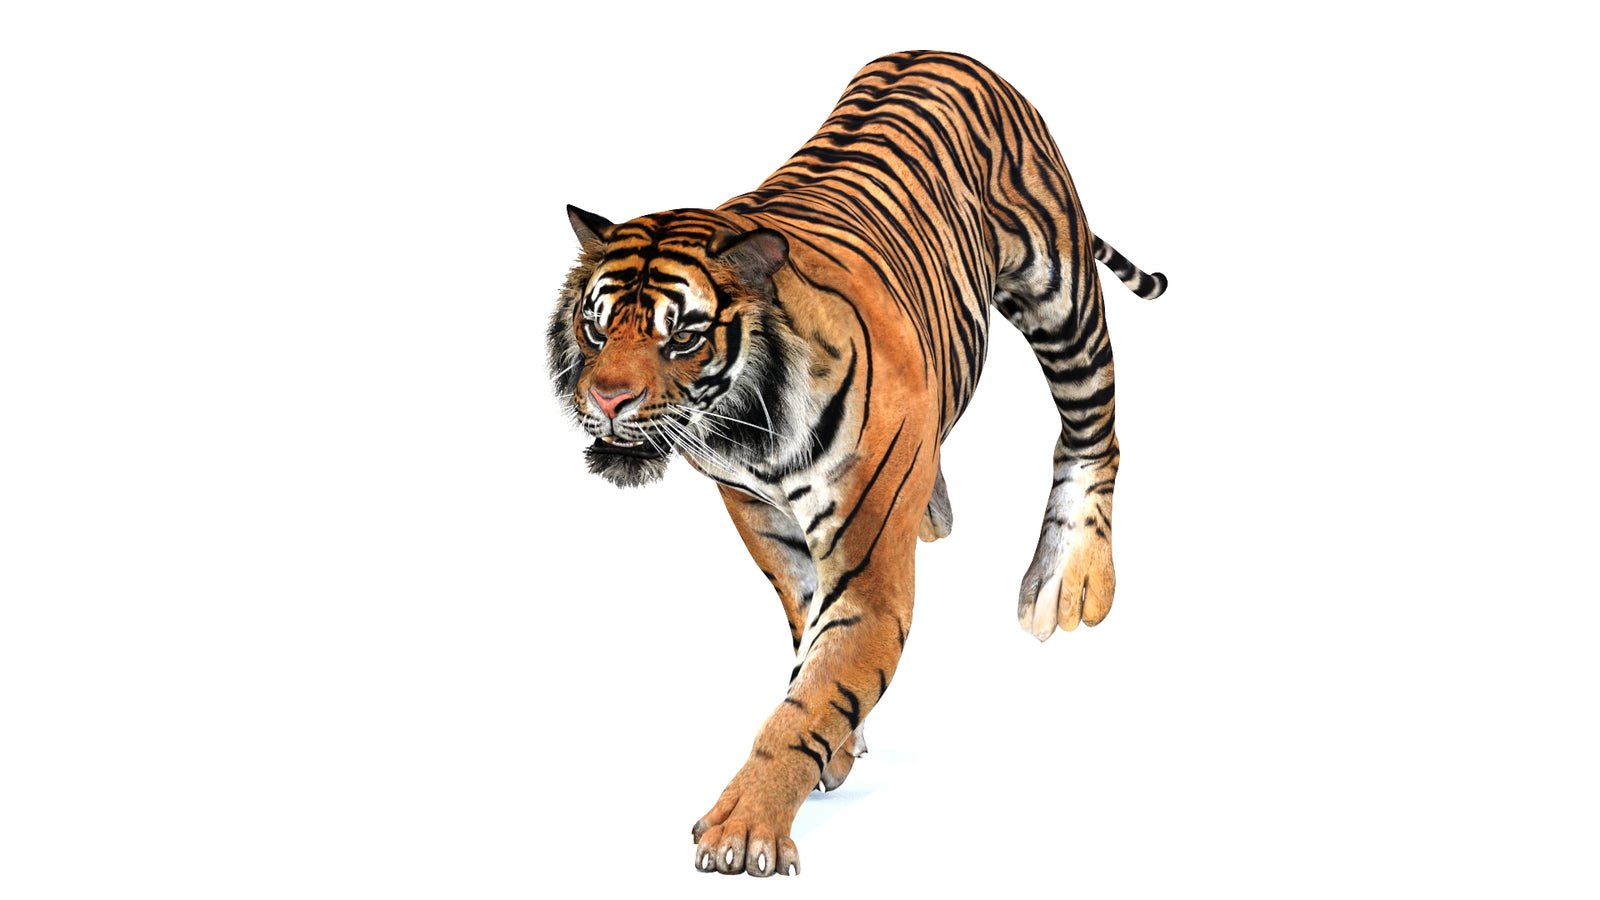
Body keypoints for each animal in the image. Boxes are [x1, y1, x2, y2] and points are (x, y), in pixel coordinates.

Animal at [546, 50, 1166, 876]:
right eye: (596, 325)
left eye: (683, 337)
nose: (606, 399)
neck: (745, 428)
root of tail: (942, 49)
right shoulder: (764, 521)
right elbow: (809, 640)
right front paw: (834, 750)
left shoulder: (872, 570)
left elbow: (816, 690)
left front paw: (746, 829)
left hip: (1058, 288)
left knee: (1094, 427)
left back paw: (1069, 585)